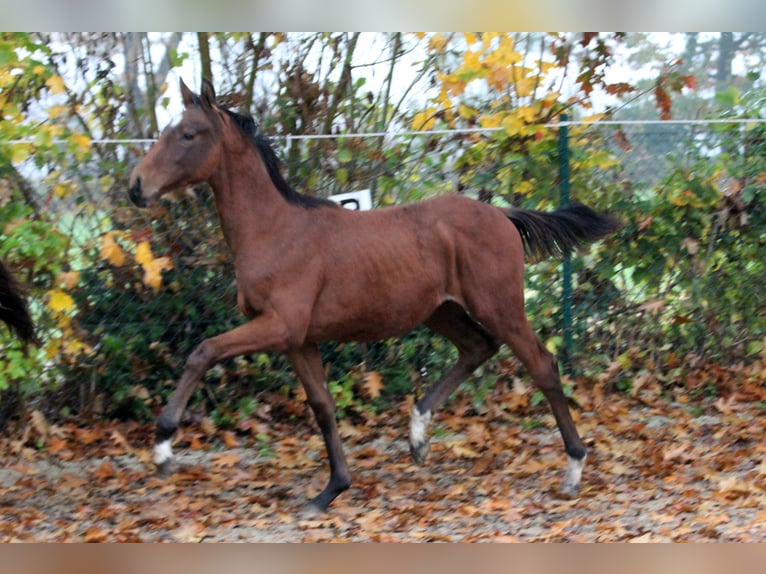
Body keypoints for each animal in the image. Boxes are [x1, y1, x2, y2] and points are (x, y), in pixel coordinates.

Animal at [129, 80, 620, 512]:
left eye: (188, 134)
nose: (135, 185)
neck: (275, 231)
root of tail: (503, 214)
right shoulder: (298, 339)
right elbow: (323, 407)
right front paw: (331, 490)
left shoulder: (278, 326)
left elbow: (203, 351)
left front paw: (163, 448)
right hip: (440, 310)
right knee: (478, 347)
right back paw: (418, 434)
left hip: (499, 305)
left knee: (542, 365)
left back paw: (573, 469)